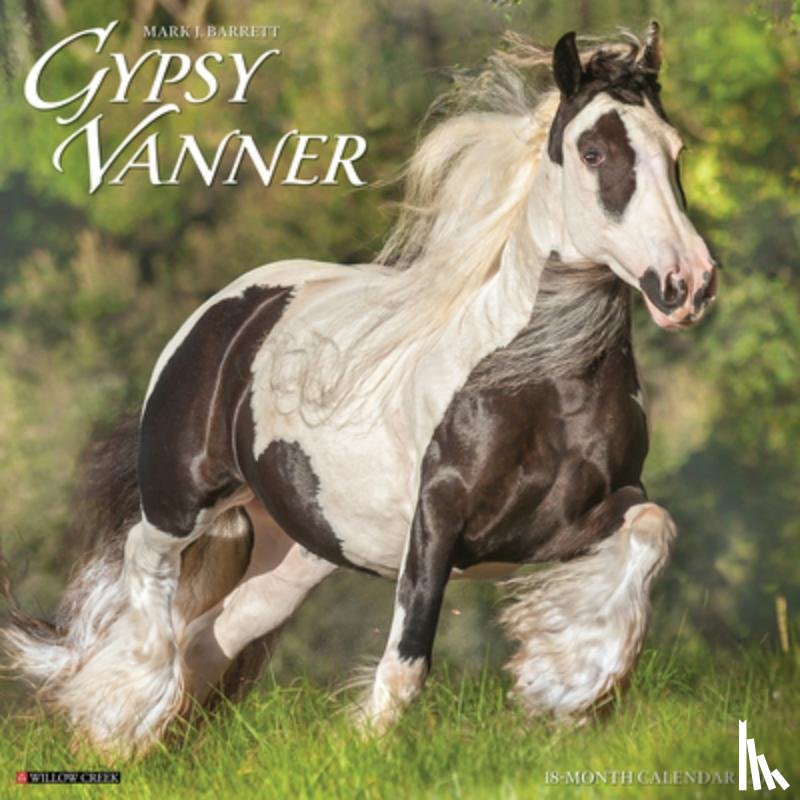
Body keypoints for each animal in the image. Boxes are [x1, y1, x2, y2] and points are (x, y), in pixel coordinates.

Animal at [3, 22, 718, 756]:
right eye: (592, 151)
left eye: (676, 150)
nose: (687, 284)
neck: (538, 385)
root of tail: (226, 312)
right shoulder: (436, 522)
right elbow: (407, 656)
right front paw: (378, 745)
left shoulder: (579, 517)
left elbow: (652, 530)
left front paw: (570, 682)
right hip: (181, 501)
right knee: (149, 585)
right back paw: (115, 724)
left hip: (296, 551)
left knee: (212, 634)